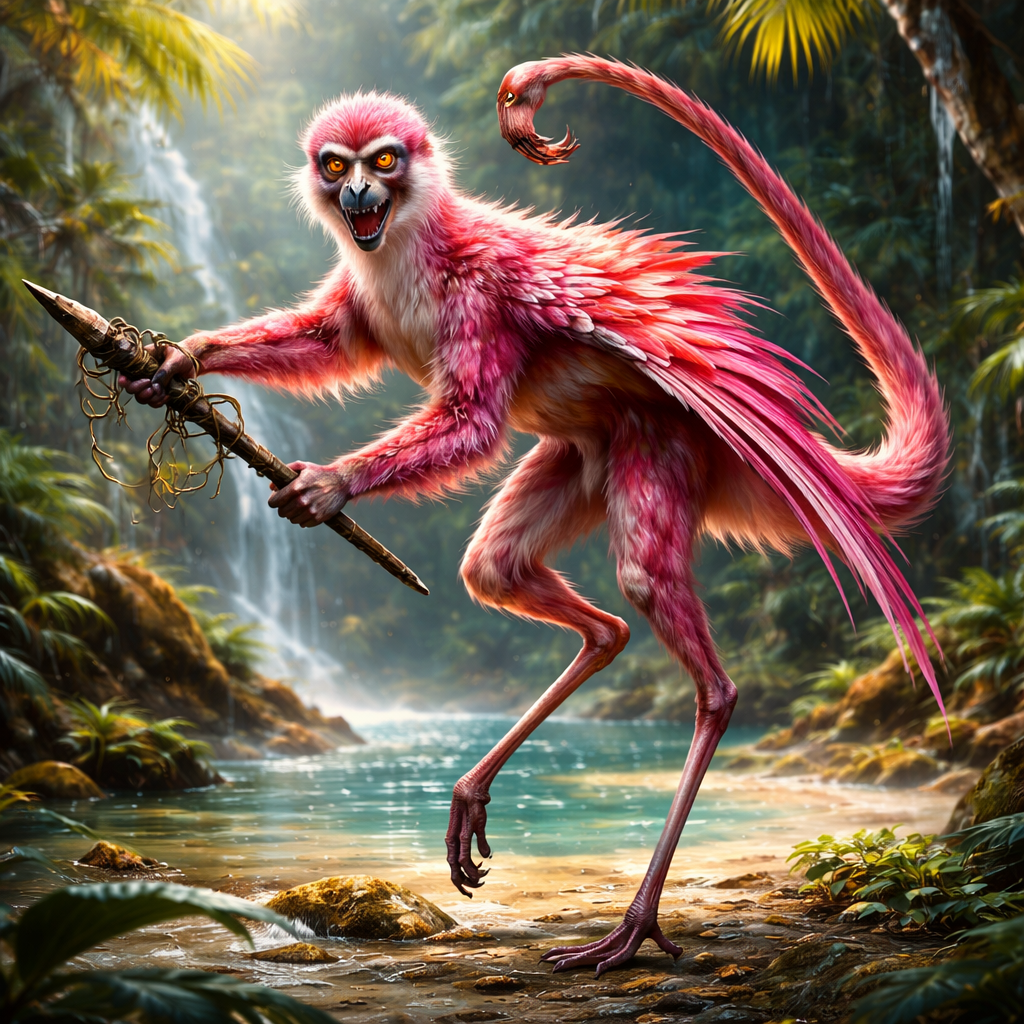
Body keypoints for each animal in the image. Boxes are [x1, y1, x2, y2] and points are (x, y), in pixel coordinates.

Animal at [124, 56, 948, 976]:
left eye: (384, 161)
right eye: (335, 165)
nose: (356, 198)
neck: (409, 245)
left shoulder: (479, 294)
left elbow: (474, 422)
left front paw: (331, 486)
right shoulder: (361, 300)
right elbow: (327, 340)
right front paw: (183, 359)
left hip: (666, 437)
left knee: (667, 615)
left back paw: (639, 919)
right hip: (588, 454)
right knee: (509, 573)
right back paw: (494, 767)